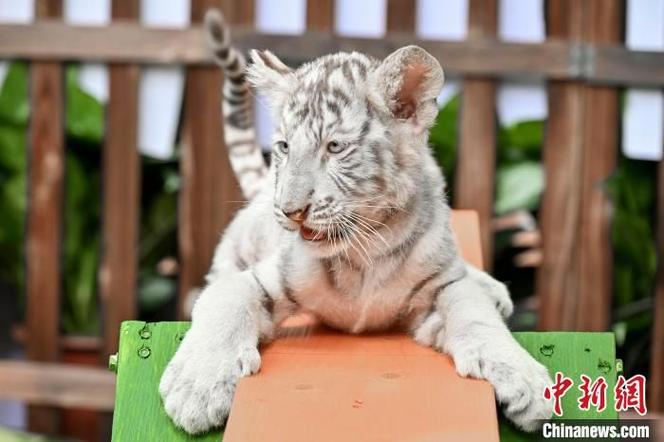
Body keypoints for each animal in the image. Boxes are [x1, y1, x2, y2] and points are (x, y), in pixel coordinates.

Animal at [159, 9, 553, 435]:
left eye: (334, 147)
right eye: (284, 147)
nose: (289, 210)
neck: (364, 252)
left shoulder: (440, 289)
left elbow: (476, 313)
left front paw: (525, 381)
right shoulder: (264, 278)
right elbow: (225, 303)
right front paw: (197, 387)